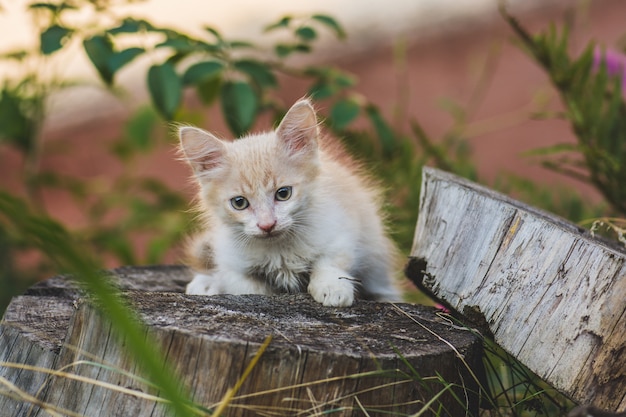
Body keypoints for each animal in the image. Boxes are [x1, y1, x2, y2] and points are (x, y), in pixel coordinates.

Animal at [178, 97, 398, 306]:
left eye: (283, 194)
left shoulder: (340, 231)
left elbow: (329, 262)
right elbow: (247, 287)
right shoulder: (231, 262)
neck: (280, 250)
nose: (267, 225)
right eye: (239, 203)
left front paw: (333, 288)